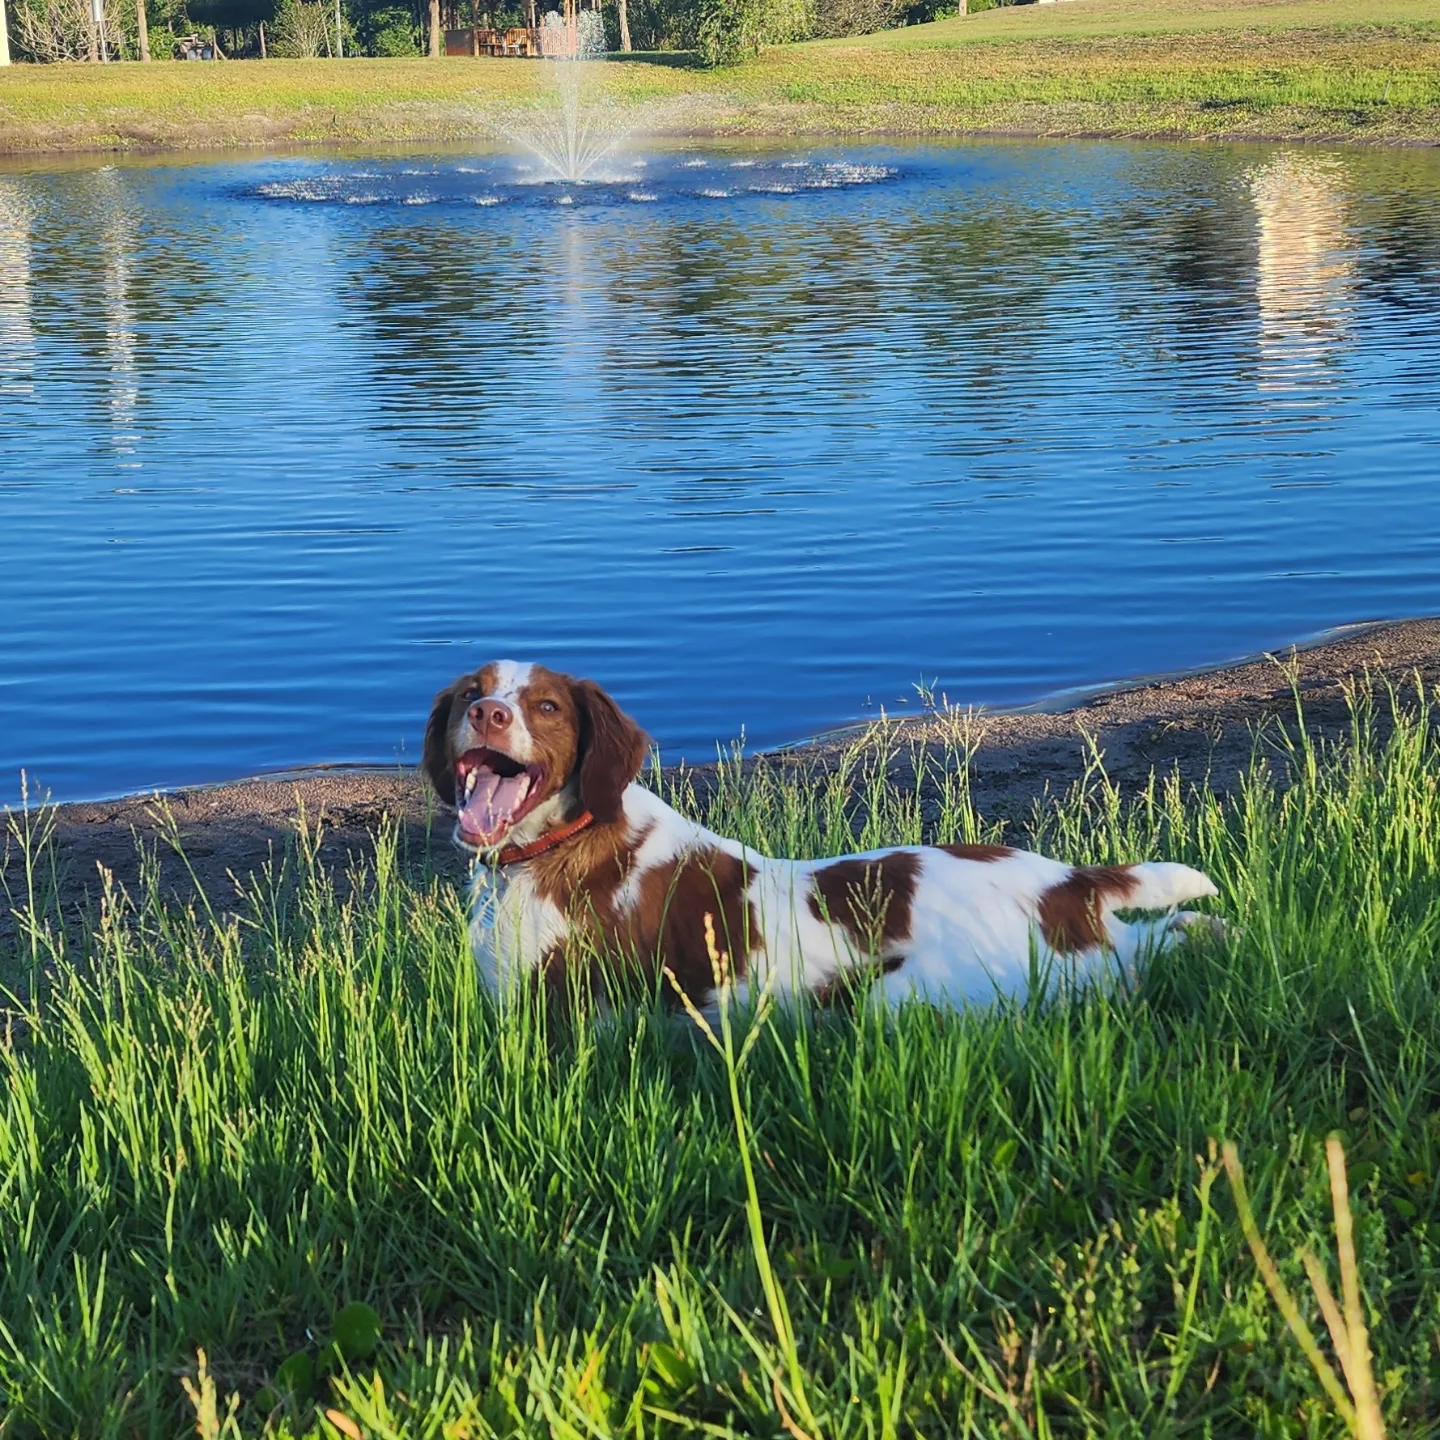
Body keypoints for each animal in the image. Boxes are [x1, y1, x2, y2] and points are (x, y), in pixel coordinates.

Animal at [423, 661, 1219, 1012]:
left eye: (547, 706)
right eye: (470, 694)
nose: (489, 714)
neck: (555, 849)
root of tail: (1069, 883)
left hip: (898, 1000)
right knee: (1165, 934)